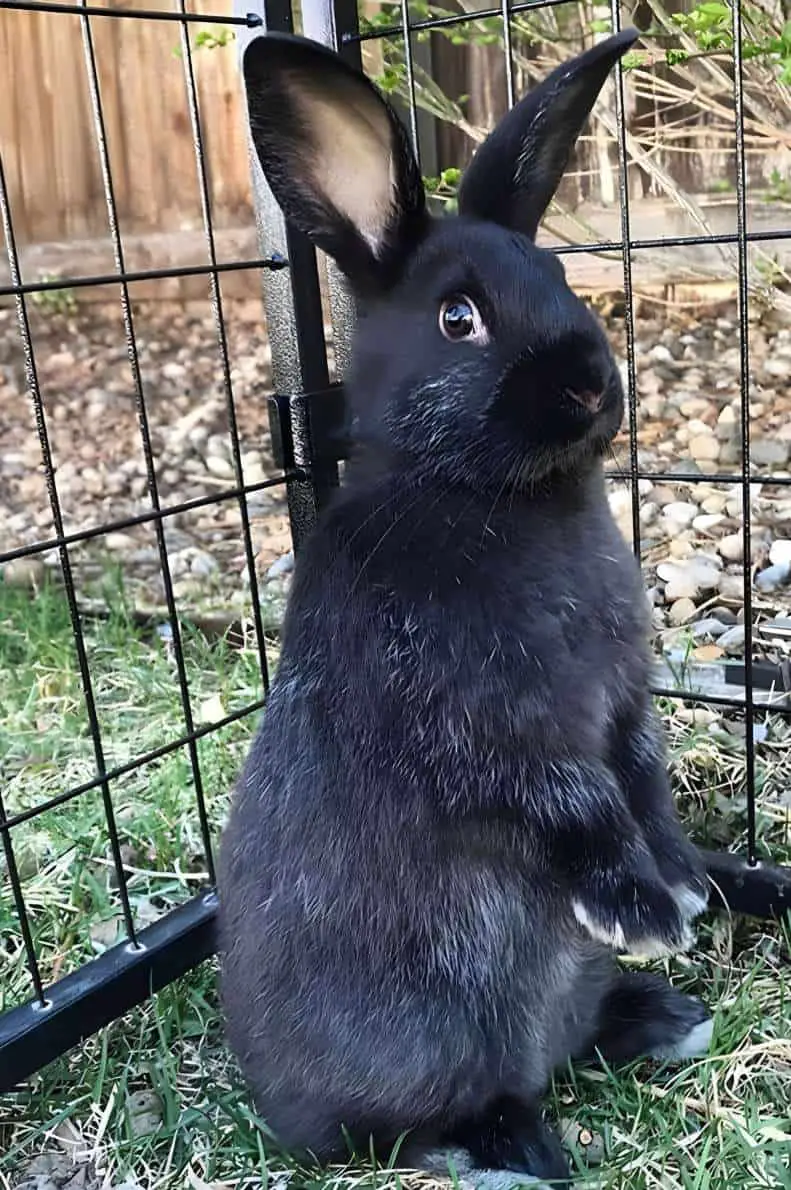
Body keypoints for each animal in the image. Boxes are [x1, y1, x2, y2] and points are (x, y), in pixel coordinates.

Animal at [217, 30, 708, 1190]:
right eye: (458, 318)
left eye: (564, 280)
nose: (591, 386)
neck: (485, 494)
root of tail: (275, 1103)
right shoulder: (481, 724)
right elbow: (574, 803)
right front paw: (640, 909)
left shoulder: (622, 705)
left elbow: (641, 780)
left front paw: (680, 886)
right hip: (425, 1047)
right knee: (408, 1121)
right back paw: (509, 1142)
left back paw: (658, 1016)